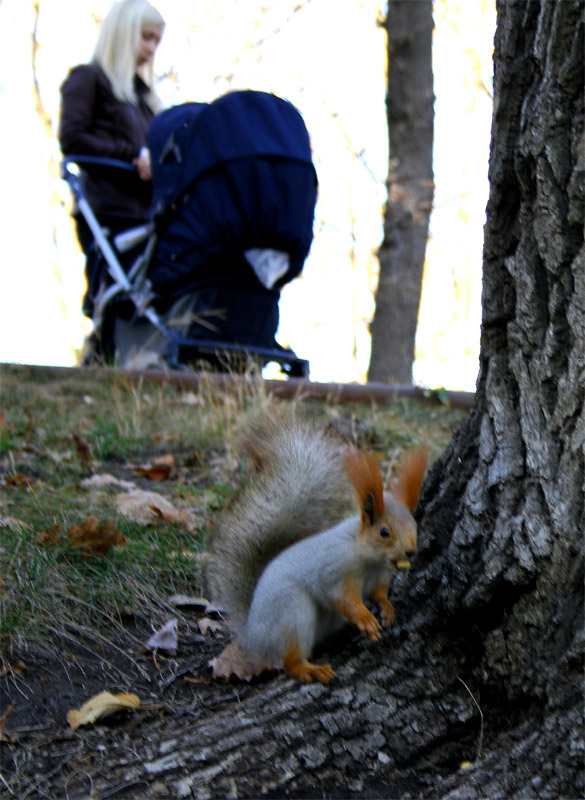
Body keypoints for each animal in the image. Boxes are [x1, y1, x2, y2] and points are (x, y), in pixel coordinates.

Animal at [208, 412, 426, 680]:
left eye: (414, 526)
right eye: (384, 532)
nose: (410, 551)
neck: (370, 560)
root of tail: (253, 635)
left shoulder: (381, 576)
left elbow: (378, 594)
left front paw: (387, 608)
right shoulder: (334, 570)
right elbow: (342, 598)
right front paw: (364, 616)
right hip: (293, 612)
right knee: (290, 661)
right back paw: (311, 669)